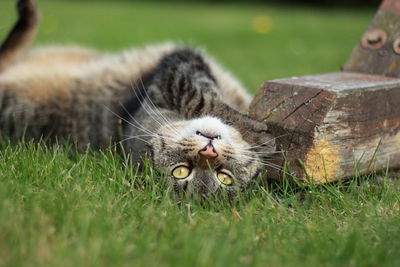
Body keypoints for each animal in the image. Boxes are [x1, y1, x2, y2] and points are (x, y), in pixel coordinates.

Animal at [0, 0, 276, 197]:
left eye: (224, 177)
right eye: (182, 171)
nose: (208, 152)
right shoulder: (176, 71)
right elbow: (204, 98)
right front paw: (257, 135)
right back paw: (28, 12)